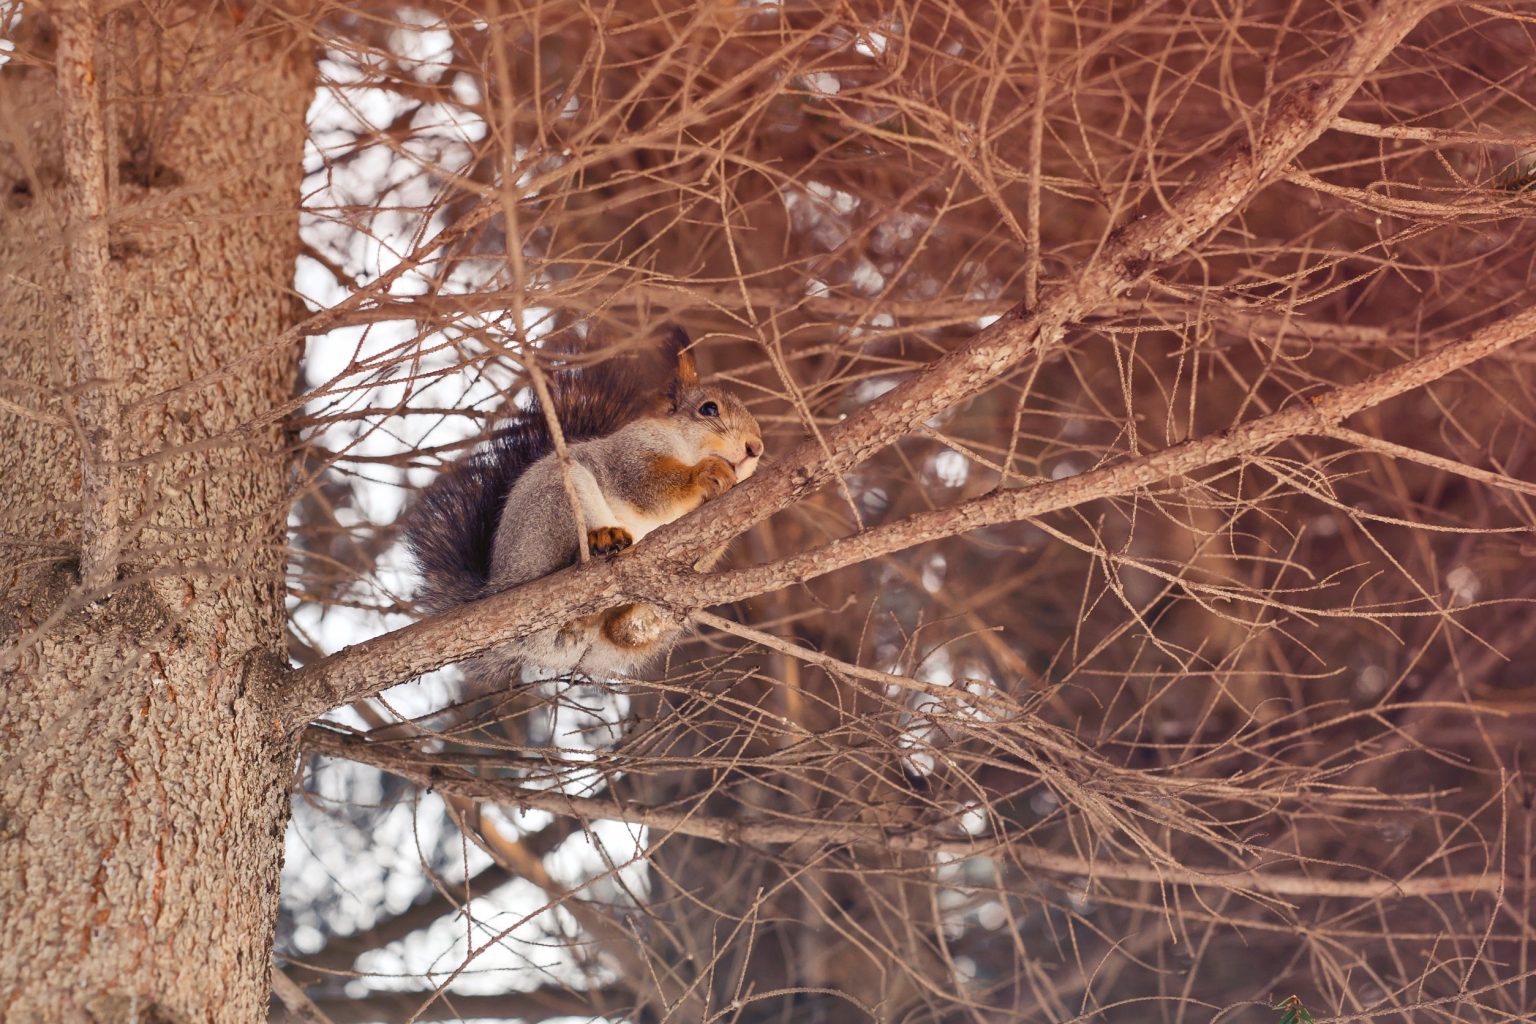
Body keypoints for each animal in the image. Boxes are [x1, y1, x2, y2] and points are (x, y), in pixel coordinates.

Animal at [404, 327, 763, 679]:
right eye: (709, 409)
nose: (756, 447)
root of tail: (499, 583)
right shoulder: (632, 454)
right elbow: (648, 485)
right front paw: (705, 473)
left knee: (619, 633)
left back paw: (627, 619)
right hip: (554, 505)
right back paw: (601, 540)